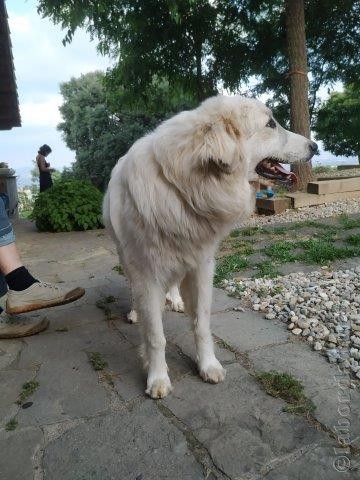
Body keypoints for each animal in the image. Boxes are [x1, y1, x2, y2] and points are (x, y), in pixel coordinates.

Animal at [102, 95, 316, 400]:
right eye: (270, 124)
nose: (315, 146)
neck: (186, 188)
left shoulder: (201, 265)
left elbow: (201, 324)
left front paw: (208, 365)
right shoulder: (147, 272)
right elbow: (155, 336)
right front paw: (158, 379)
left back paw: (175, 300)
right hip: (127, 257)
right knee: (136, 293)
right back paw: (136, 312)